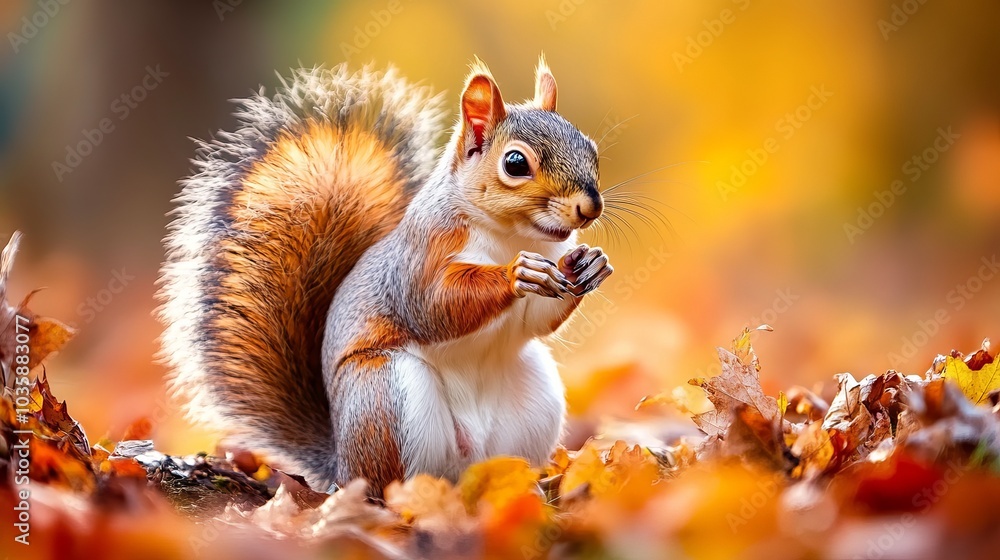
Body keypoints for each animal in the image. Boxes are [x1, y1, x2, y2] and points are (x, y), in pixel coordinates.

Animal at [158, 57, 613, 495]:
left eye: (590, 148)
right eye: (515, 163)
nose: (589, 207)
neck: (510, 235)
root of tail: (340, 465)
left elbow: (536, 319)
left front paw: (590, 263)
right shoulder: (419, 260)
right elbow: (433, 307)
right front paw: (516, 272)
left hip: (533, 399)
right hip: (385, 395)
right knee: (386, 481)